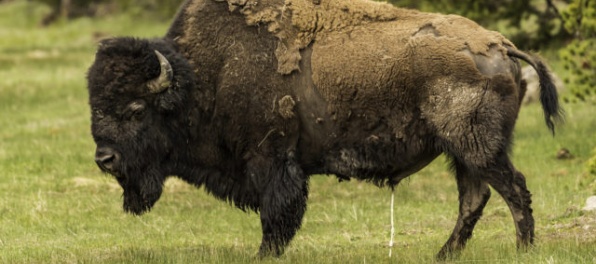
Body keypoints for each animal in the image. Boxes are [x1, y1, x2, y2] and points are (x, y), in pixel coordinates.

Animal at [86, 0, 560, 260]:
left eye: (136, 109)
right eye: (96, 105)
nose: (104, 158)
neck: (204, 77)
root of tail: (501, 46)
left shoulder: (272, 161)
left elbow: (276, 215)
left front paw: (265, 255)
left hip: (475, 147)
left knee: (512, 189)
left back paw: (523, 249)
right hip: (462, 152)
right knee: (475, 198)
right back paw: (444, 254)